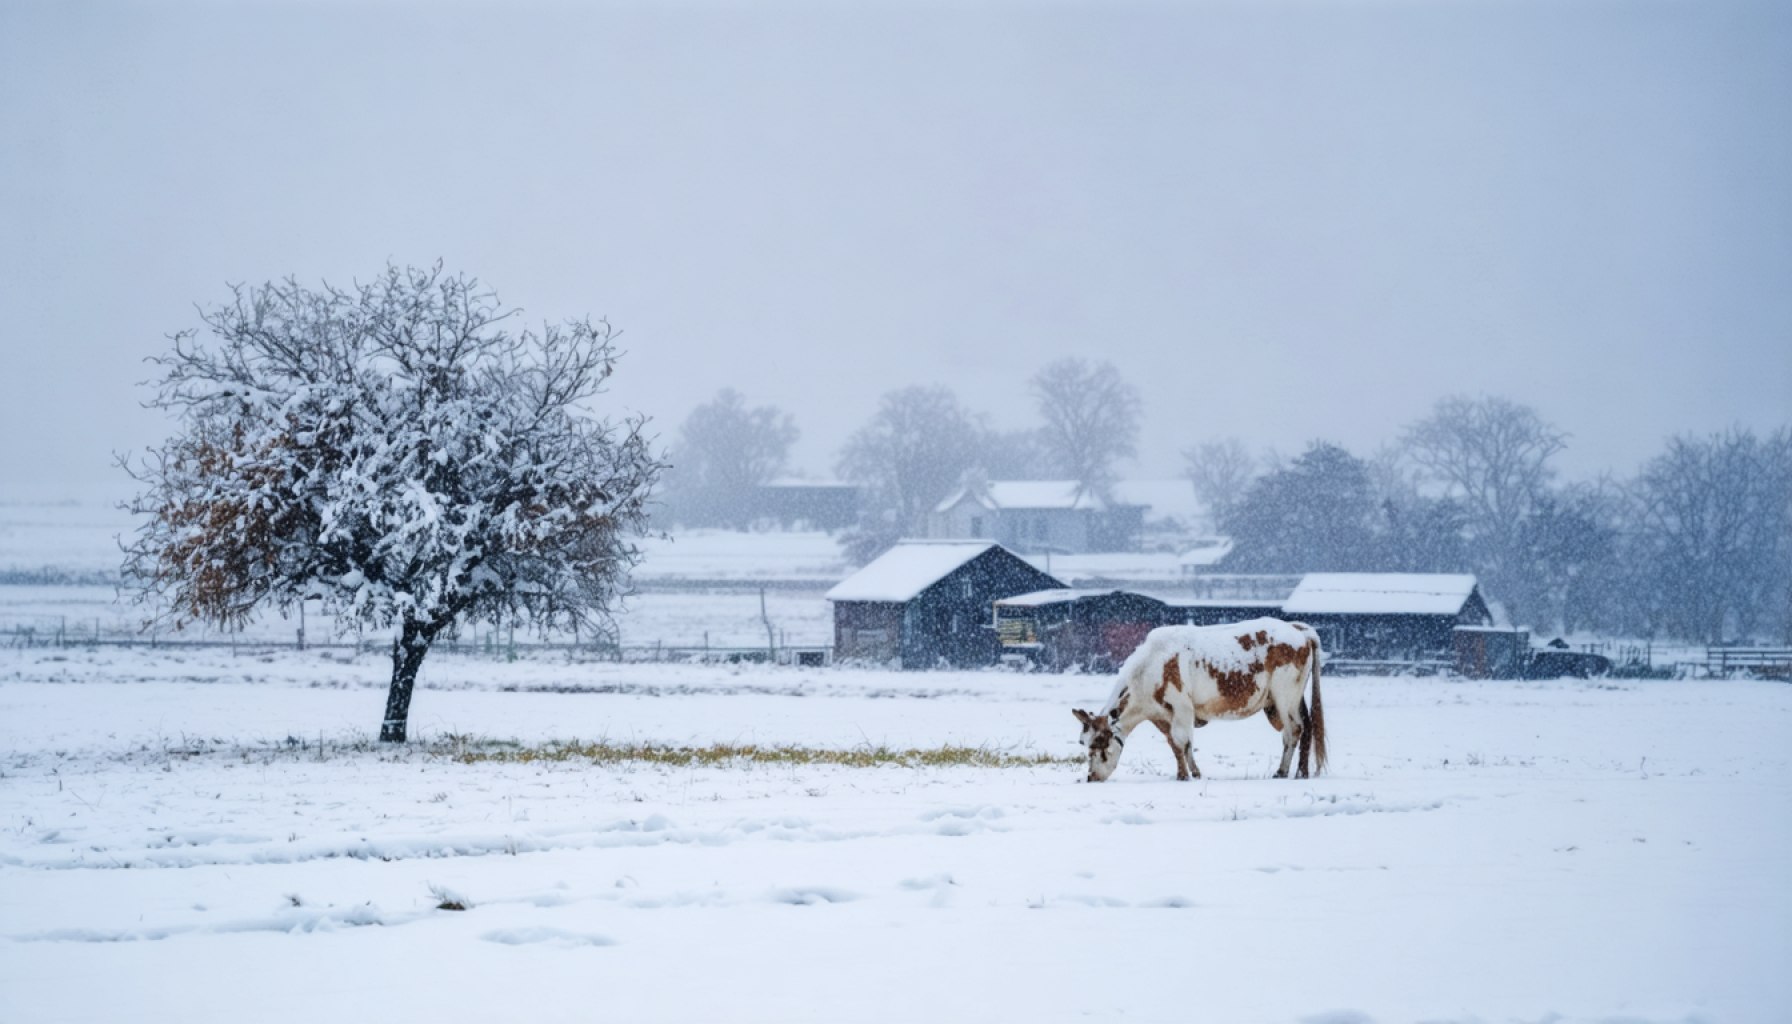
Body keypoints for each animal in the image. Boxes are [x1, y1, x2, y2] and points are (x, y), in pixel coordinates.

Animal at [1068, 616, 1326, 785]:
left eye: (1099, 743)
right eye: (1083, 742)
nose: (1090, 777)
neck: (1150, 667)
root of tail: (1297, 629)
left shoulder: (1181, 707)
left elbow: (1183, 742)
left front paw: (1191, 774)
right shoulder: (1163, 715)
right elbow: (1175, 745)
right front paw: (1185, 773)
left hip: (1285, 697)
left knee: (1294, 730)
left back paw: (1283, 771)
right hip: (1293, 699)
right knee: (1307, 726)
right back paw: (1301, 771)